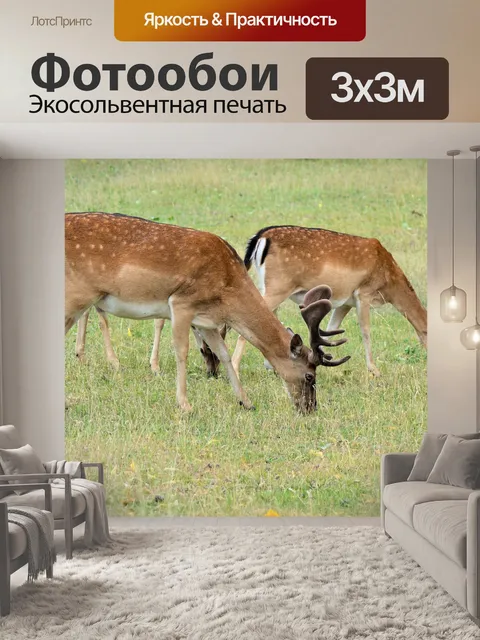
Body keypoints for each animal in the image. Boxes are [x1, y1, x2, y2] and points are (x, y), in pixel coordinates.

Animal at [74, 308, 222, 377]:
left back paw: (81, 356)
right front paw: (155, 366)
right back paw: (114, 362)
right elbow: (159, 321)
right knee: (102, 320)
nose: (213, 372)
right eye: (206, 348)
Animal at [231, 225, 427, 377]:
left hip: (266, 286)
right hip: (278, 287)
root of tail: (261, 237)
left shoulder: (345, 303)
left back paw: (270, 366)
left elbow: (330, 330)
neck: (389, 279)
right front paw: (374, 370)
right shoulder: (363, 294)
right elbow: (365, 331)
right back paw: (235, 369)